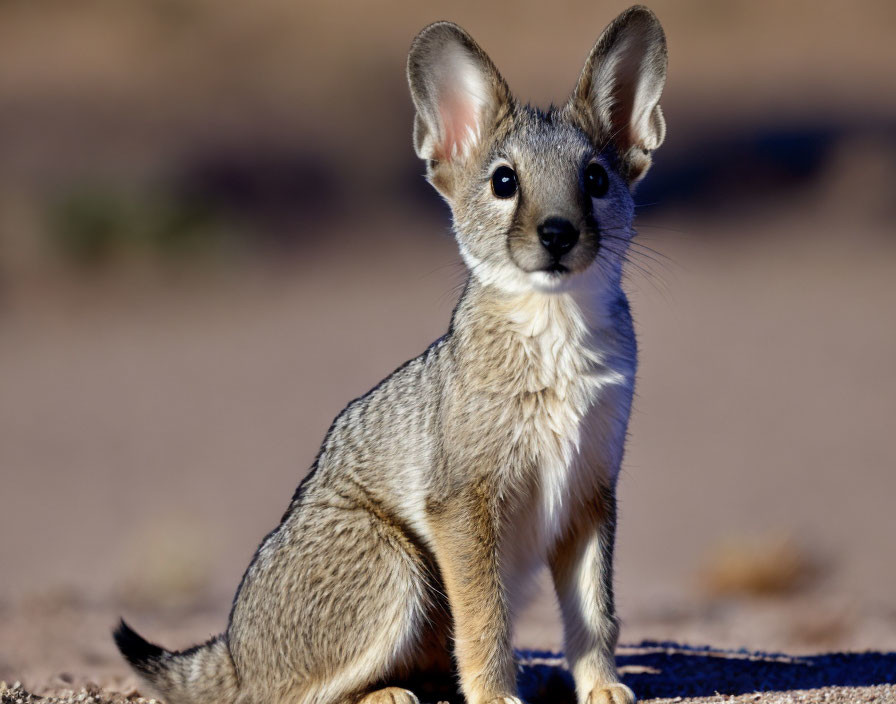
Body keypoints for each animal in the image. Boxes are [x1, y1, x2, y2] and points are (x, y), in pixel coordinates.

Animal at [115, 6, 668, 704]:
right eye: (504, 182)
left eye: (594, 179)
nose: (557, 234)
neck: (557, 349)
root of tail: (236, 650)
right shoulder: (463, 501)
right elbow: (485, 618)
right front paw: (495, 694)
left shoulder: (591, 493)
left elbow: (596, 613)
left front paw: (601, 686)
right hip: (400, 568)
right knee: (291, 694)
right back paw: (387, 694)